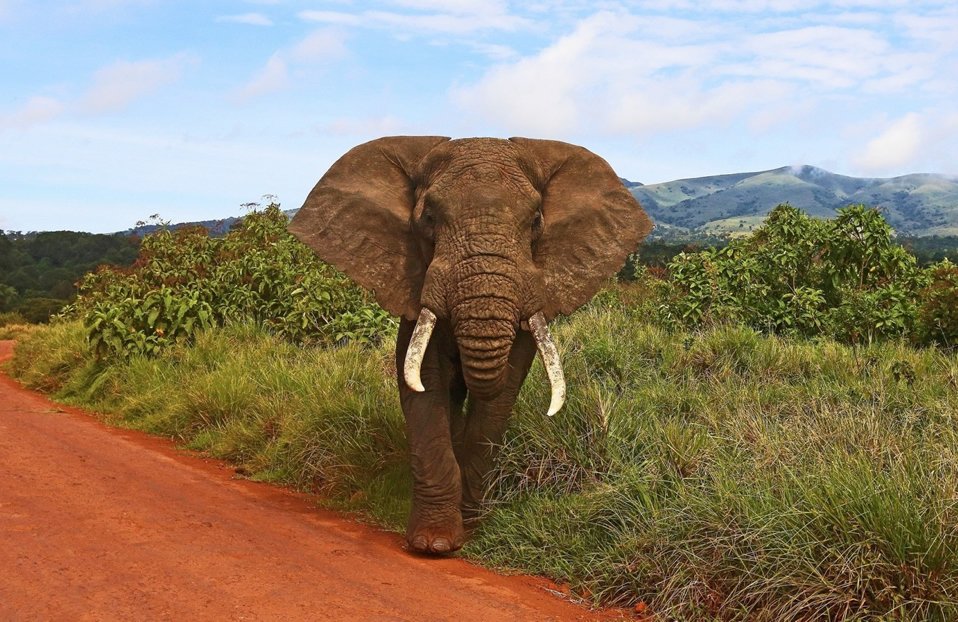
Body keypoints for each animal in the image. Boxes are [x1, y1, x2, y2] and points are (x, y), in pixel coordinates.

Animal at [288, 136, 651, 555]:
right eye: (429, 217)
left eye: (536, 221)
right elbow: (424, 382)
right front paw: (434, 543)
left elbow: (502, 392)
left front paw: (473, 527)